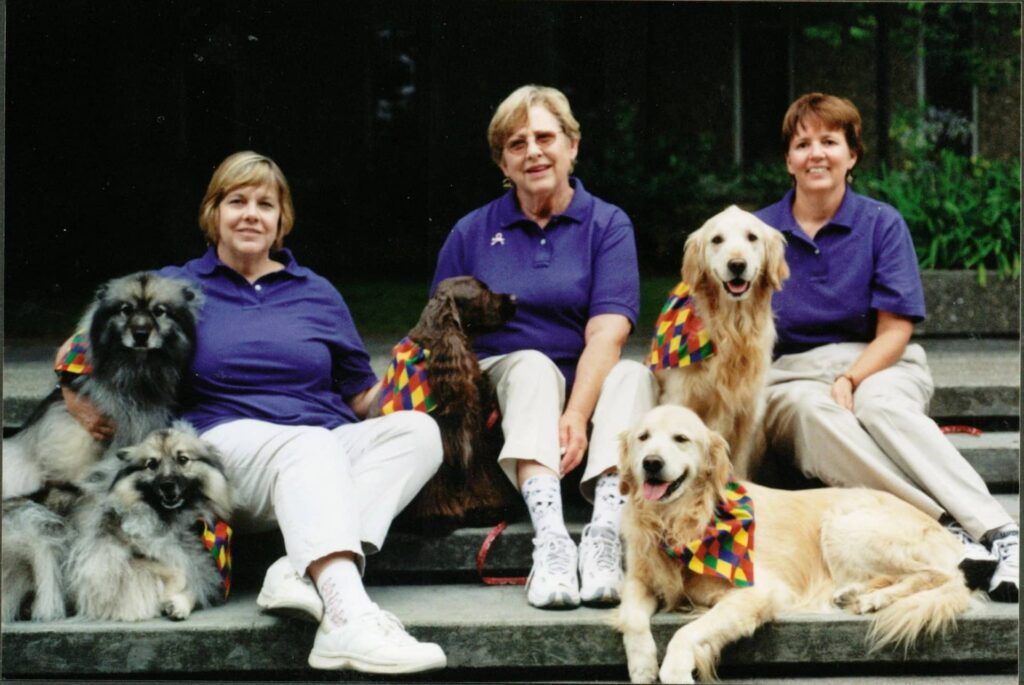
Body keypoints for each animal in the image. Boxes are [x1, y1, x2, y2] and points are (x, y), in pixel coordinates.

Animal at [2, 421, 234, 618]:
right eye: (151, 464)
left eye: (183, 459)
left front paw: (179, 603)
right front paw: (170, 594)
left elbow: (196, 578)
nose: (167, 485)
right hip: (38, 532)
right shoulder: (109, 556)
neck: (168, 518)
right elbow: (178, 571)